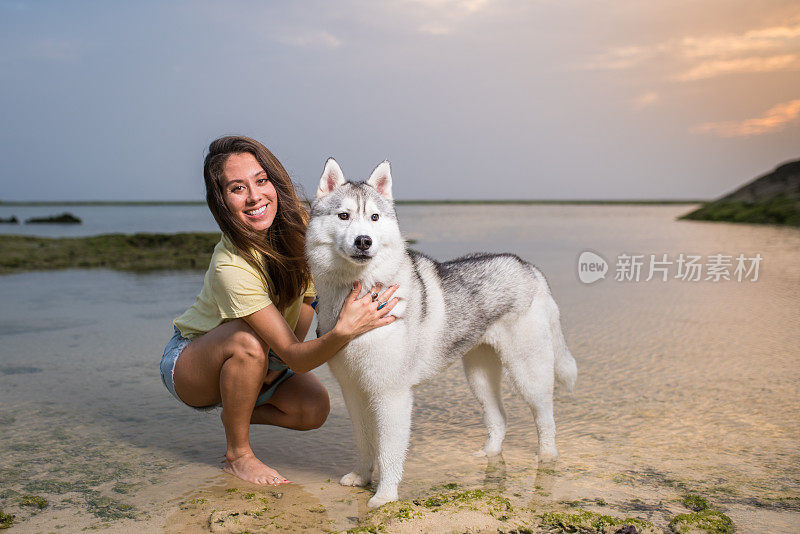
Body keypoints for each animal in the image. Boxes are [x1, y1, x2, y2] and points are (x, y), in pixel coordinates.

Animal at [304, 160, 576, 510]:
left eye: (374, 218)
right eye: (343, 215)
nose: (364, 241)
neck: (359, 291)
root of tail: (530, 268)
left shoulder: (391, 394)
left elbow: (389, 451)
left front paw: (385, 496)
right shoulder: (354, 391)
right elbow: (365, 442)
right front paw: (362, 477)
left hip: (529, 374)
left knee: (546, 418)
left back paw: (547, 458)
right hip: (479, 375)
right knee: (499, 417)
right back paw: (489, 454)